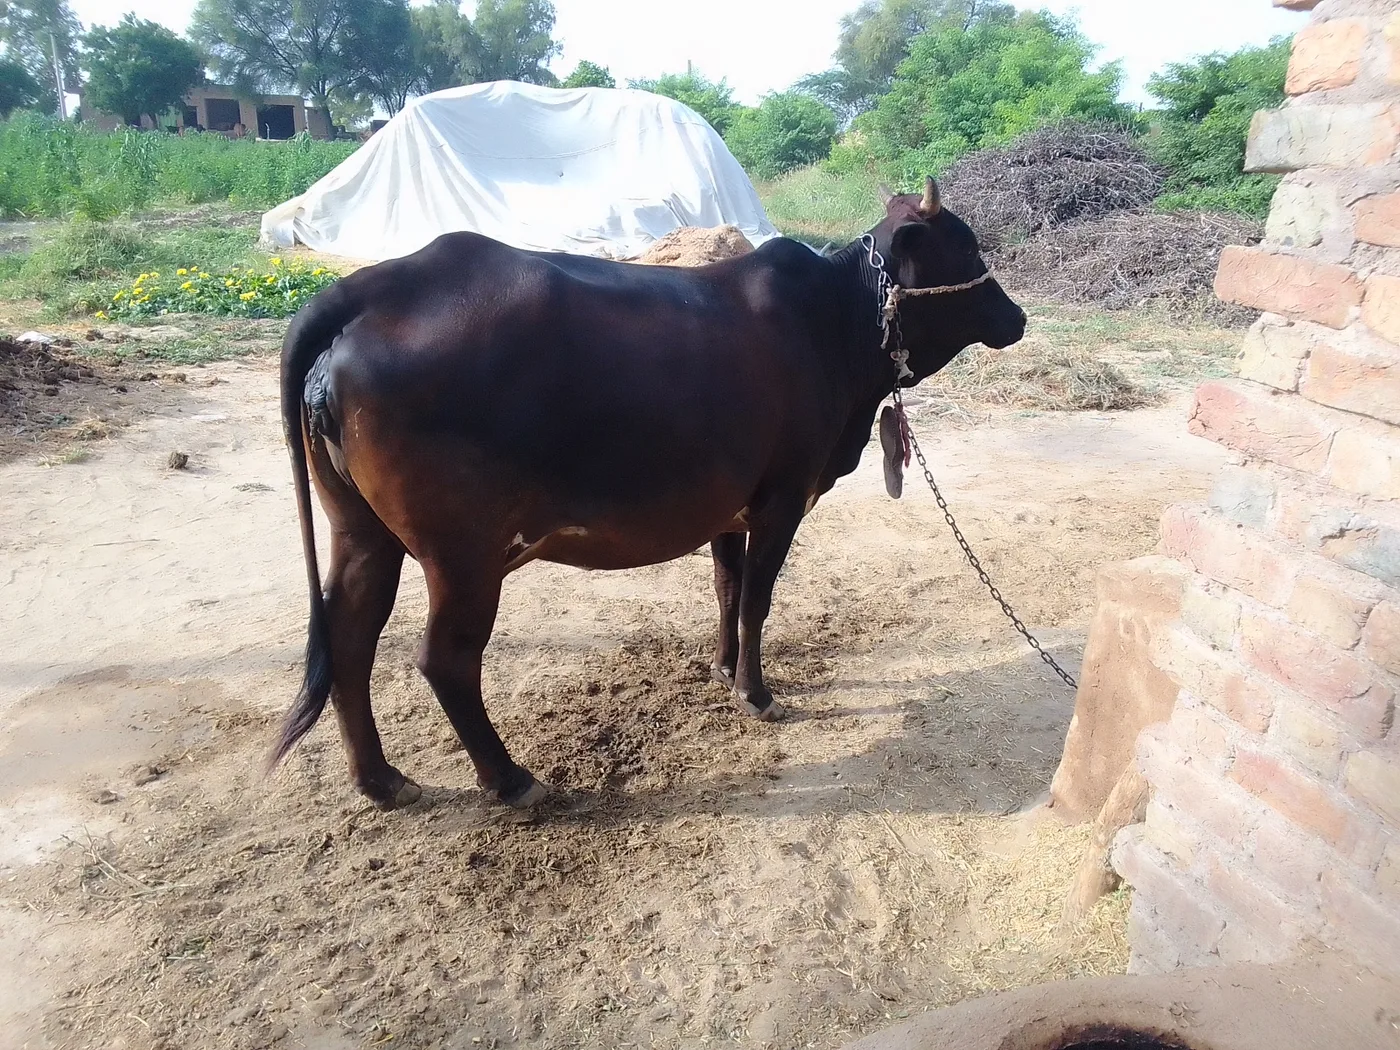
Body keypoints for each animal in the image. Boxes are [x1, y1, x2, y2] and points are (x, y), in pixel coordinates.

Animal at [271, 178, 1026, 811]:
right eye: (966, 248)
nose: (1016, 317)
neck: (834, 321)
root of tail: (379, 286)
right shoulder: (783, 496)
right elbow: (757, 598)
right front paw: (756, 692)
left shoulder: (729, 504)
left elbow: (728, 589)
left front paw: (723, 668)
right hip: (464, 555)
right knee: (445, 660)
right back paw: (511, 781)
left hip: (362, 532)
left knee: (349, 638)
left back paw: (381, 779)